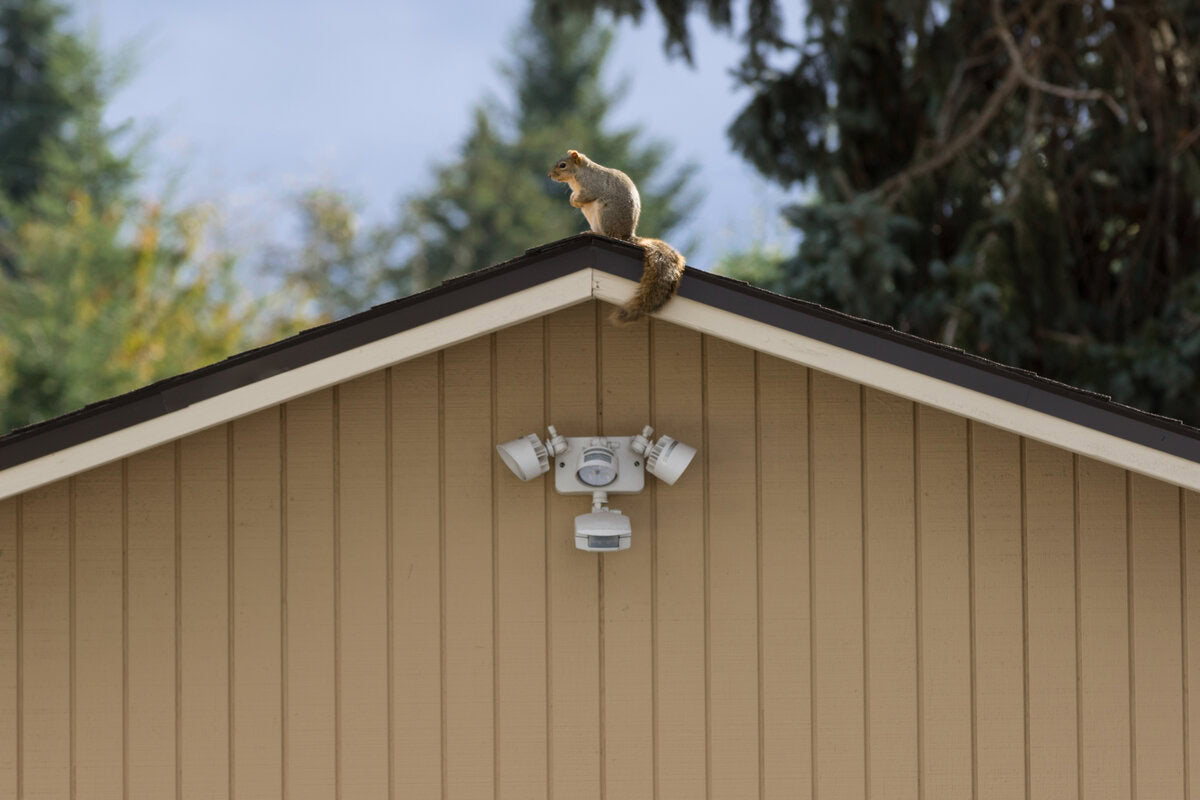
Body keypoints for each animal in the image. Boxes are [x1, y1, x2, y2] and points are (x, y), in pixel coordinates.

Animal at [548, 150, 685, 325]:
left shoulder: (592, 185)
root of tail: (627, 236)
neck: (577, 175)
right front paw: (573, 199)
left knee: (609, 234)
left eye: (563, 165)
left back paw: (594, 233)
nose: (550, 175)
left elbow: (585, 195)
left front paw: (574, 200)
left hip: (605, 215)